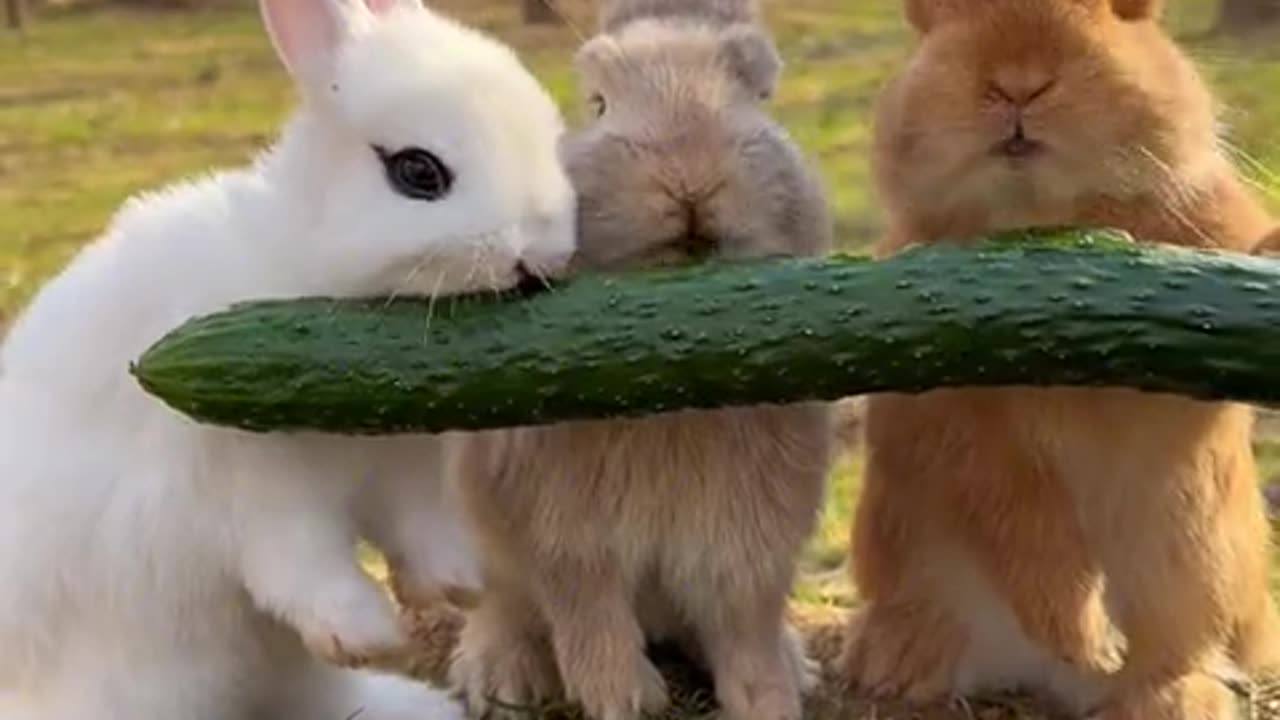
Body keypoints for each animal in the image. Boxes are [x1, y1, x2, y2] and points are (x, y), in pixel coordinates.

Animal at [0, 0, 576, 712]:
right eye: (418, 172)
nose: (537, 257)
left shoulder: (404, 469)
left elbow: (420, 527)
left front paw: (459, 580)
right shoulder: (251, 488)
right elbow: (299, 560)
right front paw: (364, 630)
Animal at [450, 1, 839, 717]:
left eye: (760, 97)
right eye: (599, 104)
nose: (689, 177)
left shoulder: (751, 542)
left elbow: (745, 627)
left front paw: (769, 700)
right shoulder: (567, 538)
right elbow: (592, 623)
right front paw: (625, 701)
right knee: (506, 608)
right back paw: (498, 677)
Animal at [839, 1, 1280, 717]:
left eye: (1130, 14)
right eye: (932, 21)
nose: (1018, 85)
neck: (1041, 222)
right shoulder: (959, 427)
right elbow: (1024, 519)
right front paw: (1086, 634)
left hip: (1197, 562)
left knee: (1177, 649)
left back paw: (1165, 693)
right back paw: (906, 663)